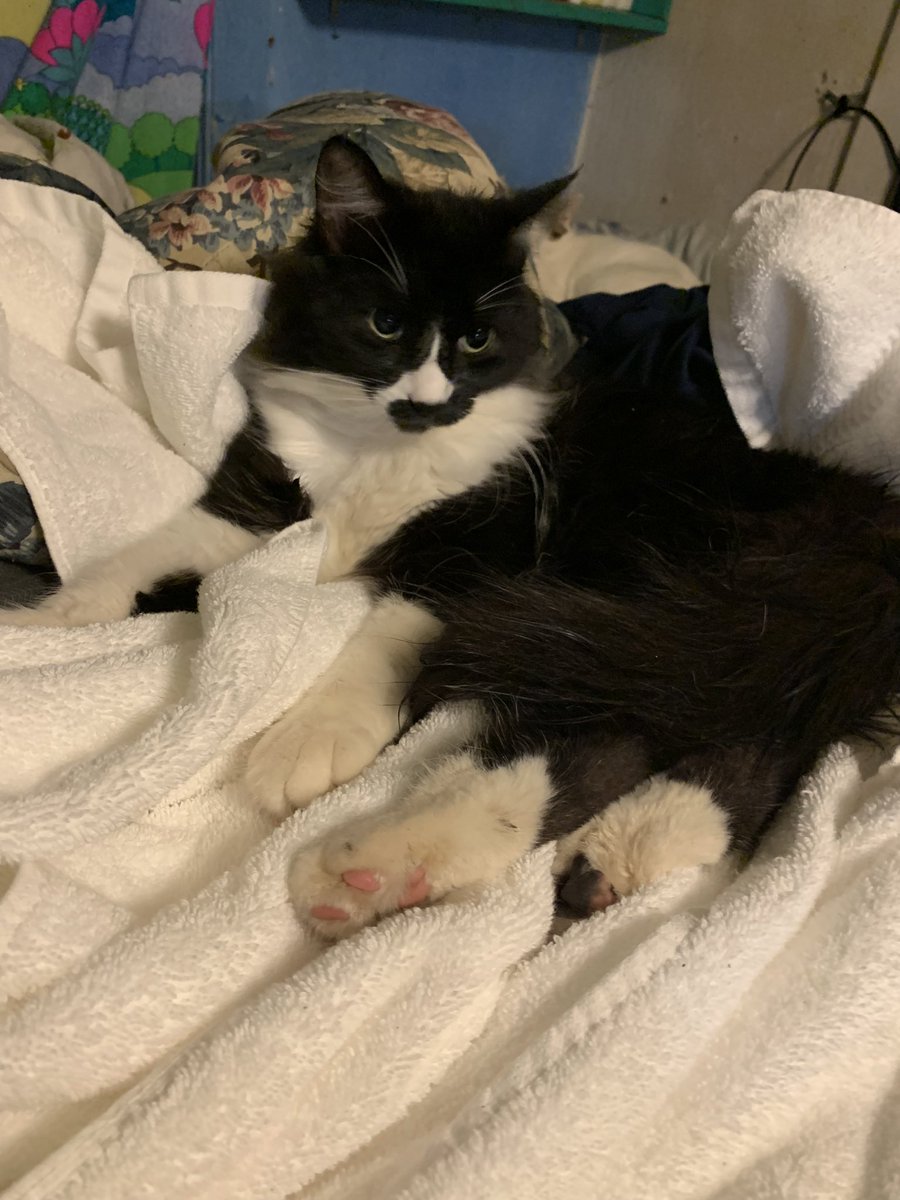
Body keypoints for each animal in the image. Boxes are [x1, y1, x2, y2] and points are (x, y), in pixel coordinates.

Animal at [7, 138, 900, 936]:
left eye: (476, 339)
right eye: (384, 322)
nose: (428, 401)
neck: (378, 452)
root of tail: (862, 519)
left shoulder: (477, 554)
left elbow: (381, 635)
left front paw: (311, 739)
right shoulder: (255, 503)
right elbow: (146, 553)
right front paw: (43, 628)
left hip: (658, 590)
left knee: (610, 731)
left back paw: (374, 869)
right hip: (703, 627)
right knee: (732, 731)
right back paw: (615, 855)